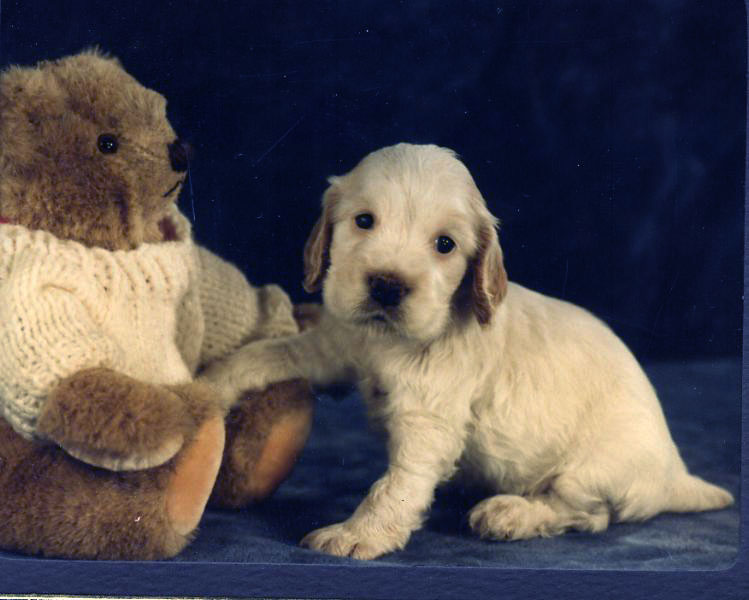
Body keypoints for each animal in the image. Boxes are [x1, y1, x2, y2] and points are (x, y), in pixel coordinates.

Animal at [199, 143, 732, 560]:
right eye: (364, 221)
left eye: (445, 244)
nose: (387, 286)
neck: (387, 342)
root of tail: (676, 472)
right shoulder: (340, 344)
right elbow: (278, 351)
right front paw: (215, 381)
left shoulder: (428, 420)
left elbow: (398, 484)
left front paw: (356, 535)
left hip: (590, 472)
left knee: (586, 514)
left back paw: (511, 513)